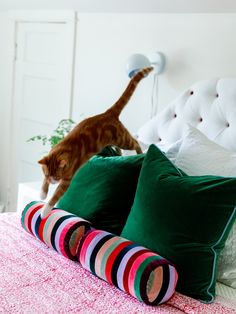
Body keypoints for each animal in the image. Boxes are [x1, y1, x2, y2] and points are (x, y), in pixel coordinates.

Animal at [38, 67, 153, 217]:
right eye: (47, 175)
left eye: (57, 176)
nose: (52, 181)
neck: (62, 149)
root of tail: (108, 113)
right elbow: (43, 182)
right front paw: (42, 193)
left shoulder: (66, 181)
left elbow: (56, 196)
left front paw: (45, 210)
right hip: (114, 141)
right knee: (121, 147)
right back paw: (120, 153)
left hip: (122, 138)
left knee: (135, 141)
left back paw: (140, 152)